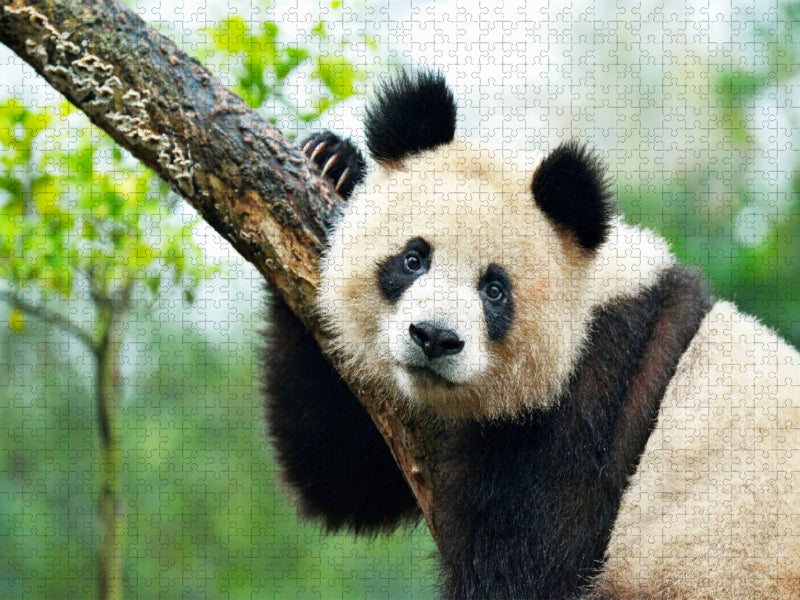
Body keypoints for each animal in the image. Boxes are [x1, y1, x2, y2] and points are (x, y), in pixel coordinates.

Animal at [262, 69, 800, 599]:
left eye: (495, 290)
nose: (434, 338)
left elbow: (530, 566)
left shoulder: (595, 404)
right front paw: (333, 160)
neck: (592, 297)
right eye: (413, 259)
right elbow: (344, 470)